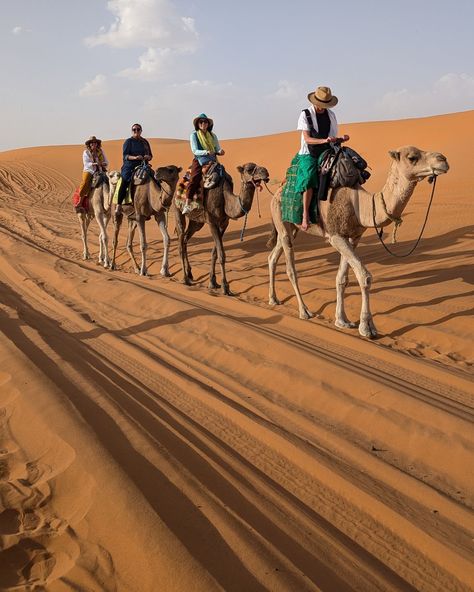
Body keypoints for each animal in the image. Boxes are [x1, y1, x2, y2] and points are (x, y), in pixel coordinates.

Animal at [175, 163, 270, 294]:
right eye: (249, 169)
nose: (265, 172)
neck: (226, 200)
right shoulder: (212, 222)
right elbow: (221, 254)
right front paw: (225, 287)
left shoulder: (224, 224)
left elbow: (215, 253)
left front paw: (213, 282)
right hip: (177, 209)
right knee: (180, 240)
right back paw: (185, 278)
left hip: (197, 222)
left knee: (185, 239)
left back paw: (189, 273)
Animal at [268, 145, 450, 338]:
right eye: (412, 157)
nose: (443, 159)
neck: (360, 206)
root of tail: (277, 192)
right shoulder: (335, 236)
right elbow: (365, 276)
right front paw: (367, 327)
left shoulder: (352, 237)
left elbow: (342, 278)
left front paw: (342, 320)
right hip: (281, 219)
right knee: (291, 269)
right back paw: (304, 311)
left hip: (290, 228)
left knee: (273, 256)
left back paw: (273, 299)